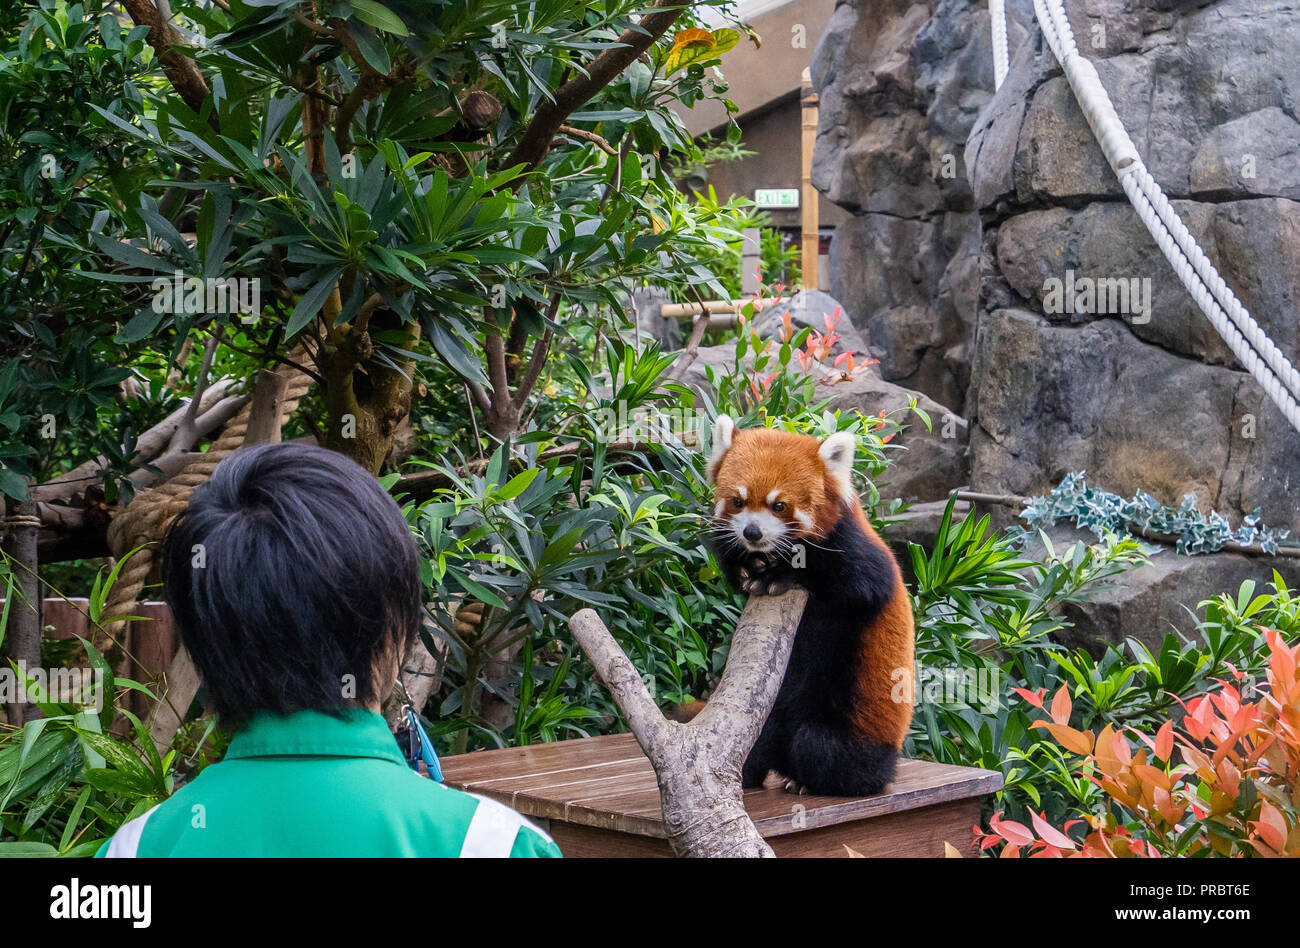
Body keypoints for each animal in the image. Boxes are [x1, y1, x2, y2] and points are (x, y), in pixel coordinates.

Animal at [707, 418, 909, 795]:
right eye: (738, 501)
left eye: (779, 506)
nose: (752, 533)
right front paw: (747, 566)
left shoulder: (859, 553)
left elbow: (856, 585)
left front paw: (780, 574)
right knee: (758, 738)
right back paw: (750, 773)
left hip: (857, 724)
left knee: (819, 744)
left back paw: (811, 781)